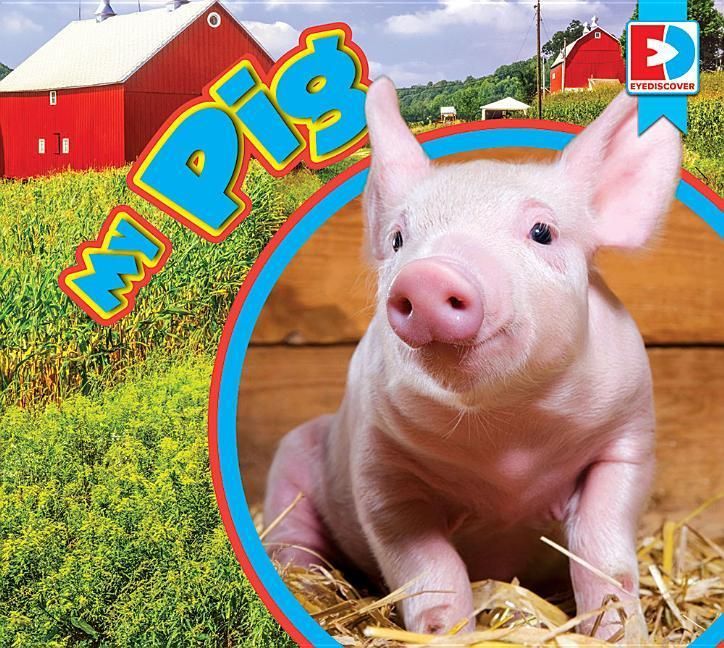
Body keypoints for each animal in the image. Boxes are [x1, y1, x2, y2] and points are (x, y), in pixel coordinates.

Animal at [263, 77, 681, 641]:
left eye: (542, 231)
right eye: (398, 239)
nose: (429, 275)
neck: (505, 442)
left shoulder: (627, 438)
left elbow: (603, 548)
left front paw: (619, 633)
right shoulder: (380, 471)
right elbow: (429, 571)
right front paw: (448, 633)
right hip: (290, 462)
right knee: (294, 543)